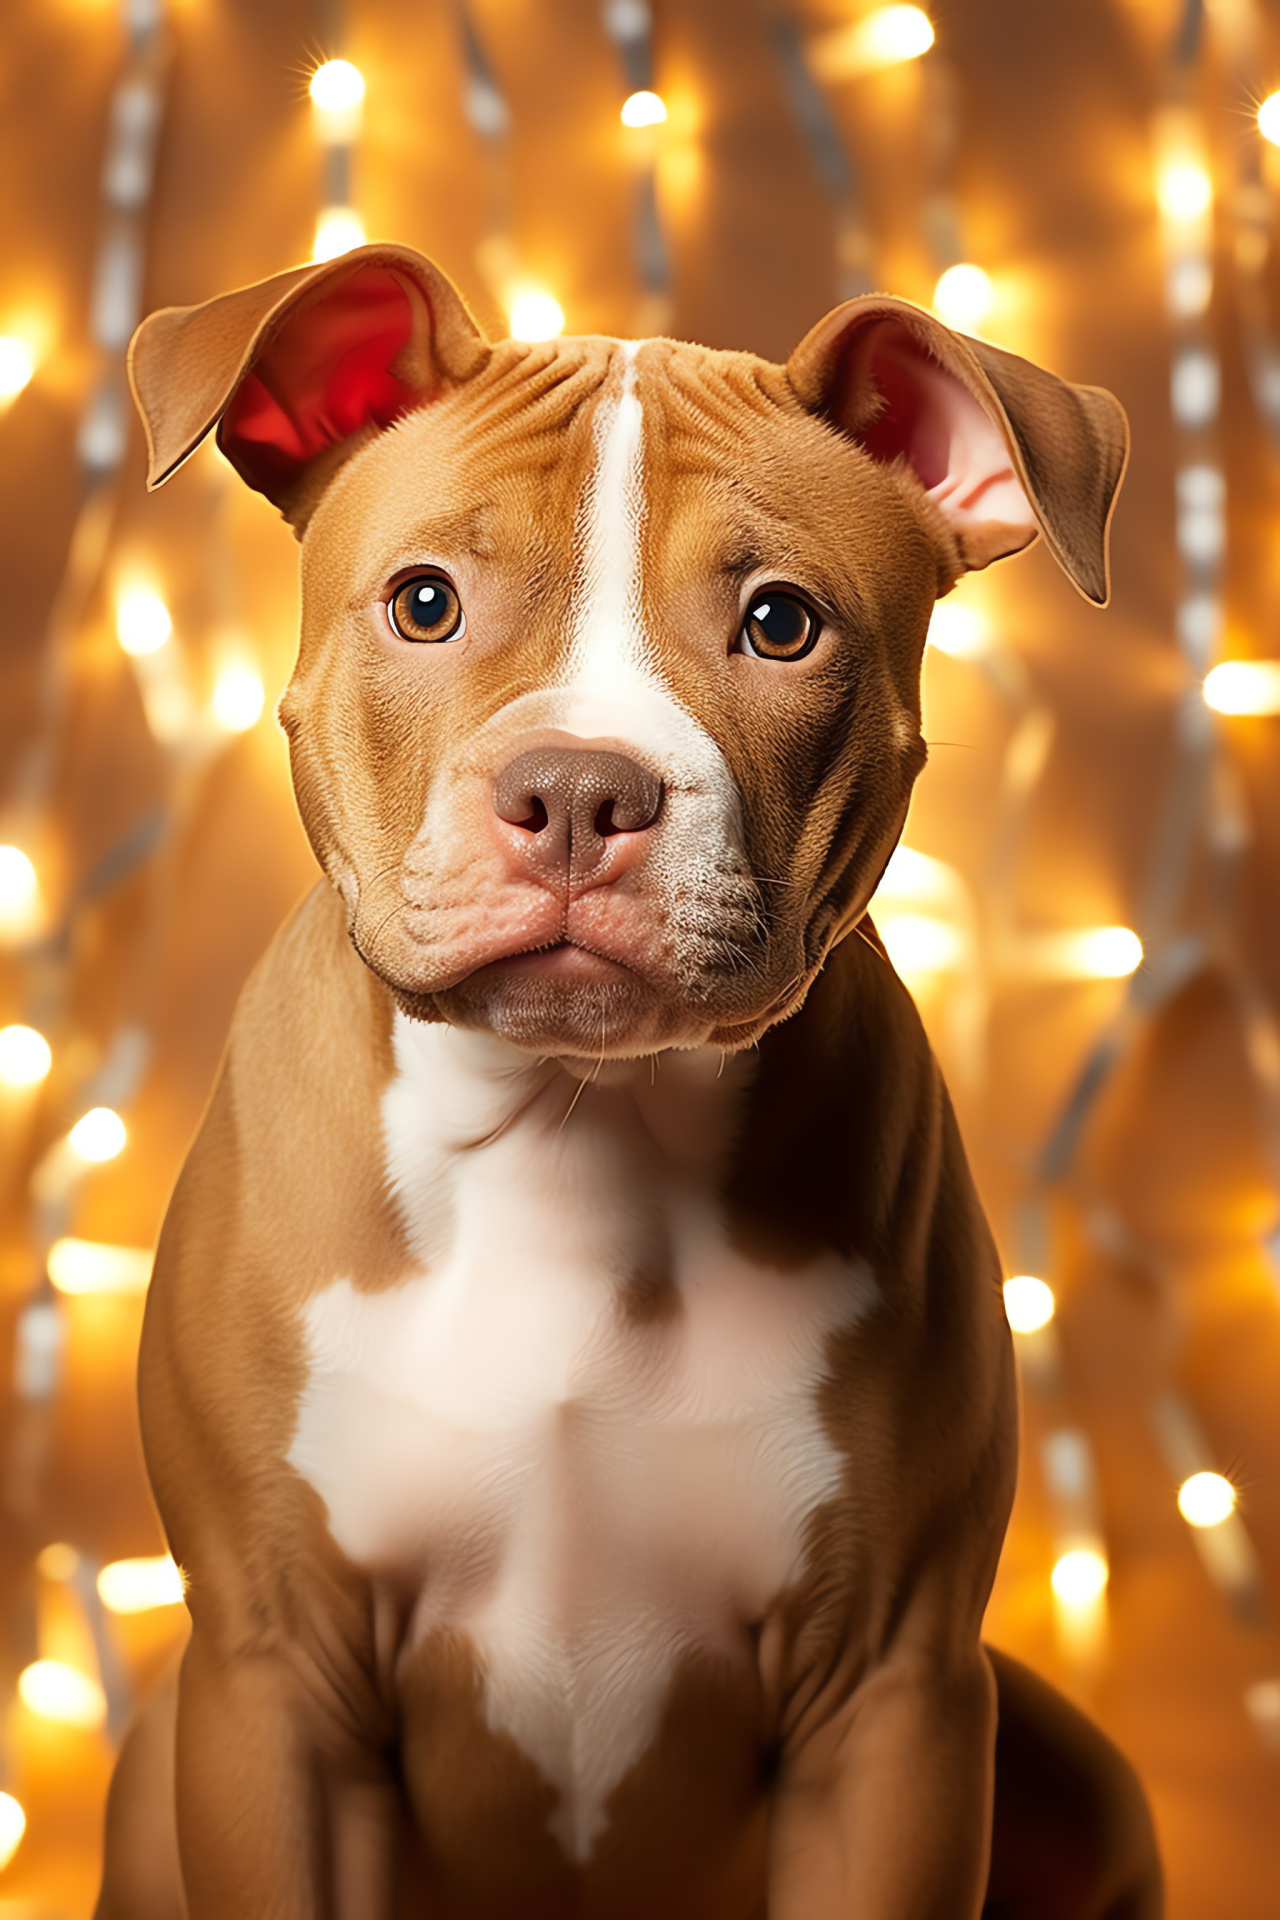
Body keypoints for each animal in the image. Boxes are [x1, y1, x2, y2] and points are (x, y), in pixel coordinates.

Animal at [94, 247, 1159, 1912]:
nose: (582, 790)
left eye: (781, 625)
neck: (570, 1129)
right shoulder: (275, 1677)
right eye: (424, 603)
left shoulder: (895, 1694)